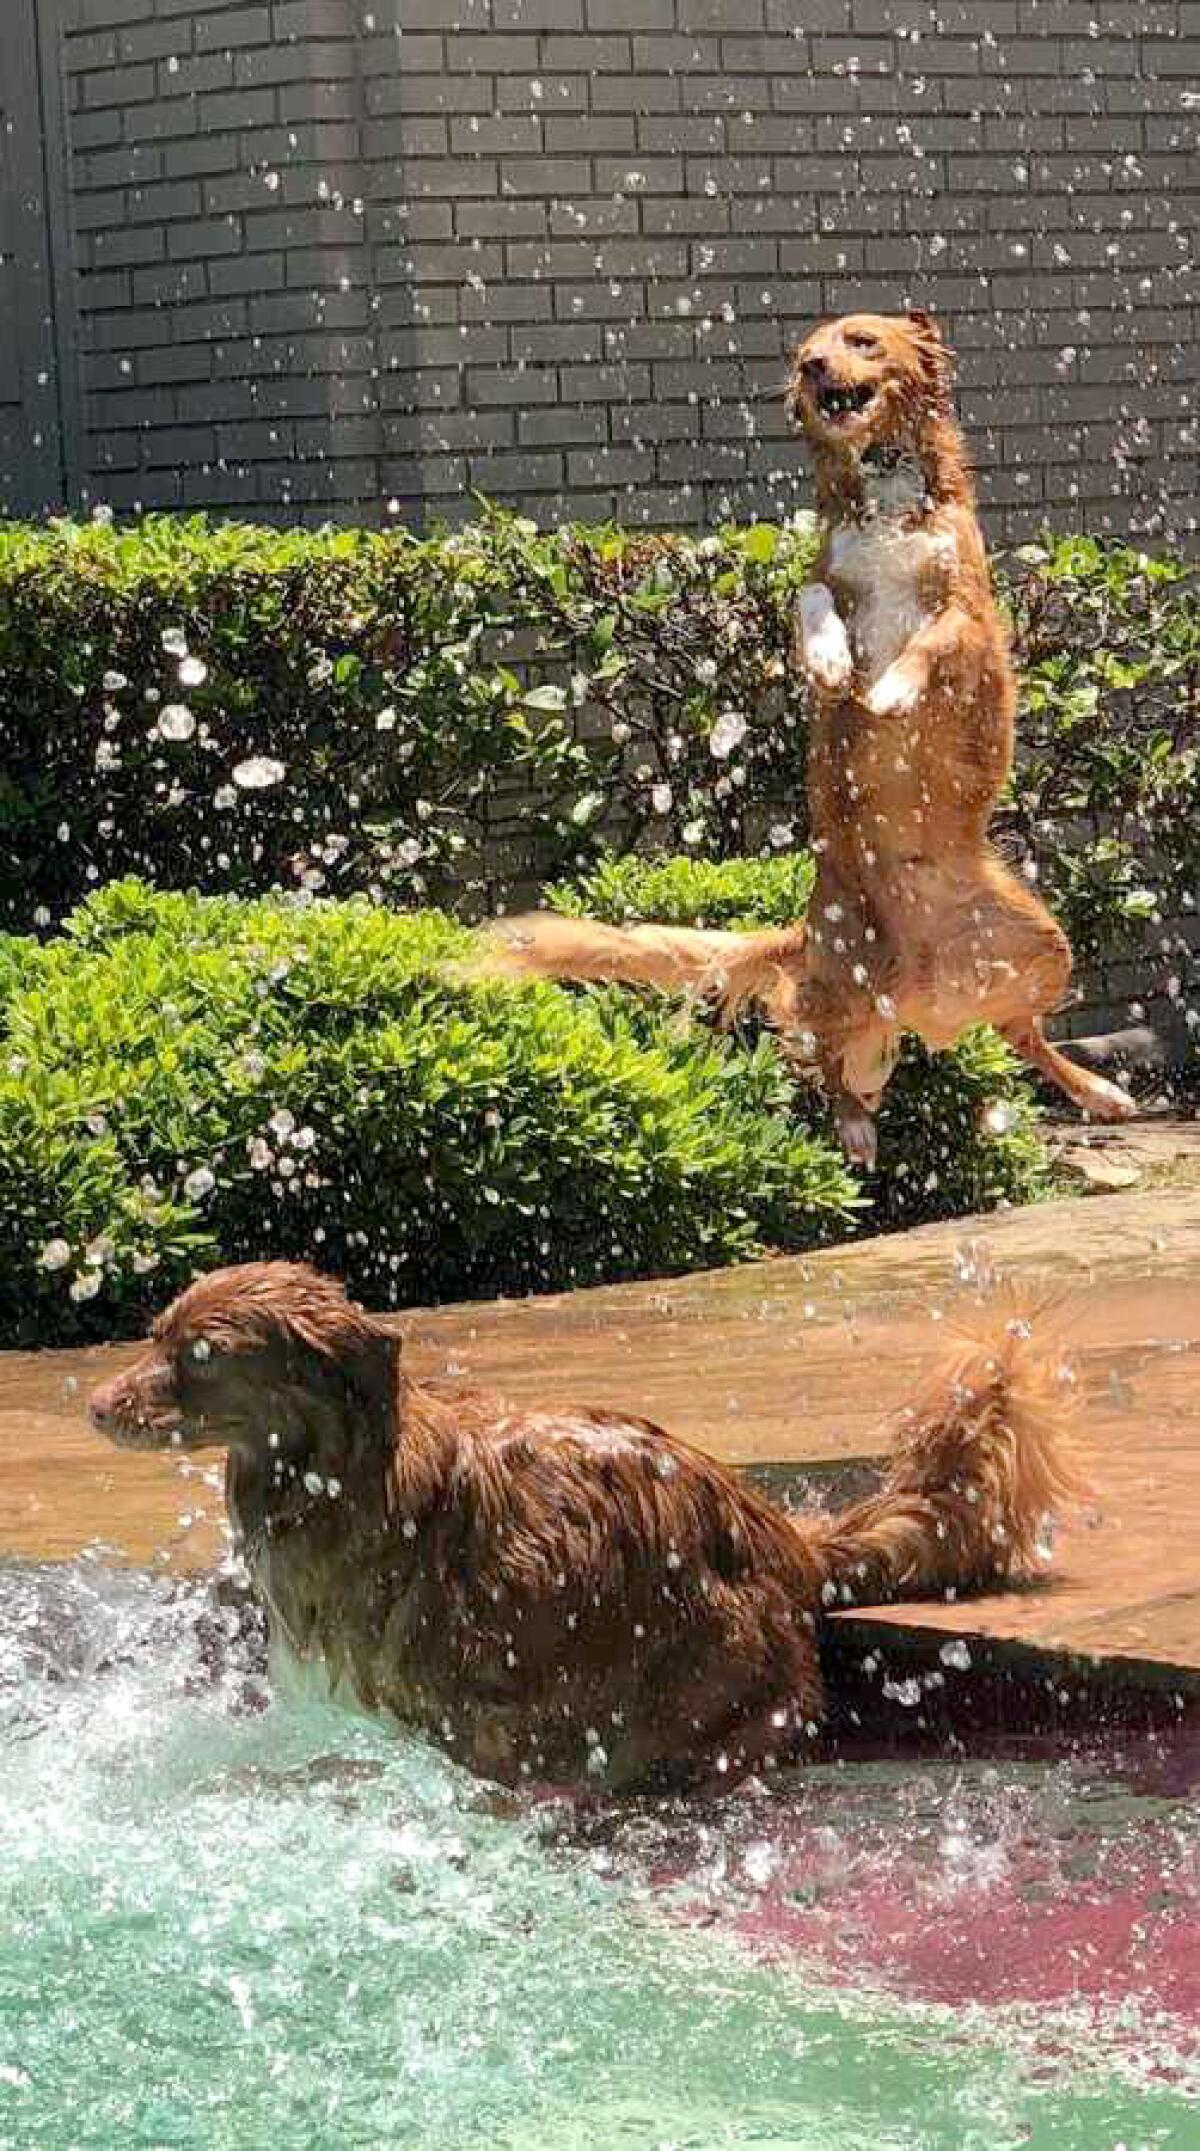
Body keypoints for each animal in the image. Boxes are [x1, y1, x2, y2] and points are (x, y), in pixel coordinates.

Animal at [94, 1256, 1083, 1798]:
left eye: (201, 1355)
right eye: (156, 1335)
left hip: (701, 1682)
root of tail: (787, 1540)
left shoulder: (459, 1713)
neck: (336, 1474)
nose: (98, 1405)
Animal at [475, 307, 1135, 1161]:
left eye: (860, 340)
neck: (884, 495)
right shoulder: (824, 575)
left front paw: (889, 685)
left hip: (1041, 947)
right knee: (820, 1048)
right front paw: (831, 661)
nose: (816, 368)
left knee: (1020, 1033)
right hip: (849, 982)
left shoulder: (963, 610)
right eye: (803, 353)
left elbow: (926, 643)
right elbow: (810, 600)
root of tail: (919, 993)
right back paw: (855, 1128)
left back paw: (1096, 1089)